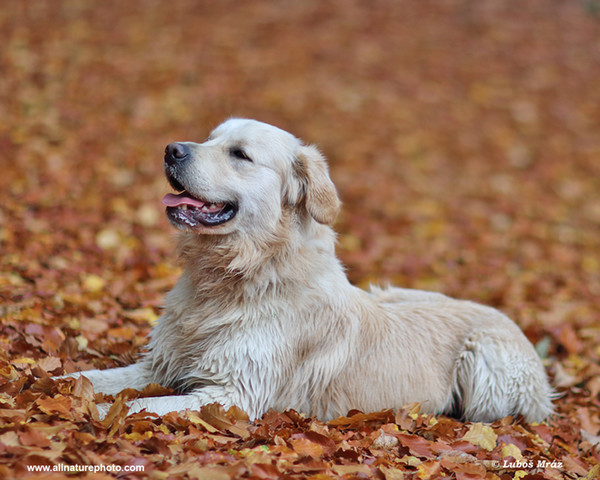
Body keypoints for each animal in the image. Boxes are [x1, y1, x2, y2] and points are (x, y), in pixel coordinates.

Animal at [64, 118, 552, 422]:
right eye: (211, 138)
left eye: (240, 154)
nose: (170, 149)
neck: (237, 275)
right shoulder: (161, 365)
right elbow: (95, 378)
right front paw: (58, 384)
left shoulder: (233, 393)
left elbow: (141, 406)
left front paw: (96, 413)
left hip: (485, 362)